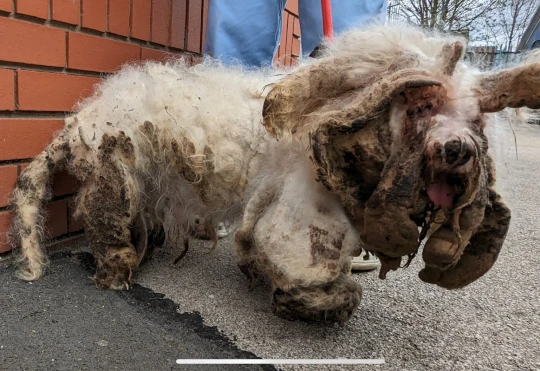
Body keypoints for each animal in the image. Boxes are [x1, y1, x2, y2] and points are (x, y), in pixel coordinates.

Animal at [9, 24, 540, 324]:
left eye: (478, 121)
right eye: (423, 105)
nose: (458, 150)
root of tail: (80, 119)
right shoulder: (302, 212)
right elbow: (304, 263)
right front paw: (325, 301)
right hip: (113, 173)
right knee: (109, 226)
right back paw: (118, 273)